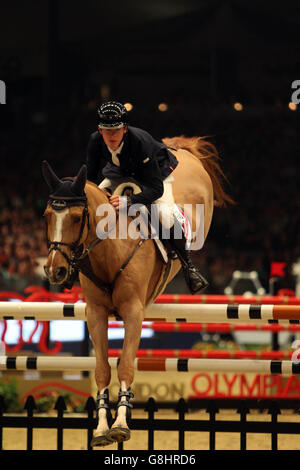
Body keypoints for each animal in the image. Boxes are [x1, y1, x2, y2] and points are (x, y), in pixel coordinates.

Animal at [41, 135, 232, 444]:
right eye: (47, 215)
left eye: (77, 218)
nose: (55, 270)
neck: (110, 249)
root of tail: (181, 149)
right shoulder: (96, 314)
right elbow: (103, 369)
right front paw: (101, 428)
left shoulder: (133, 312)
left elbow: (126, 365)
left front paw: (120, 424)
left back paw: (193, 273)